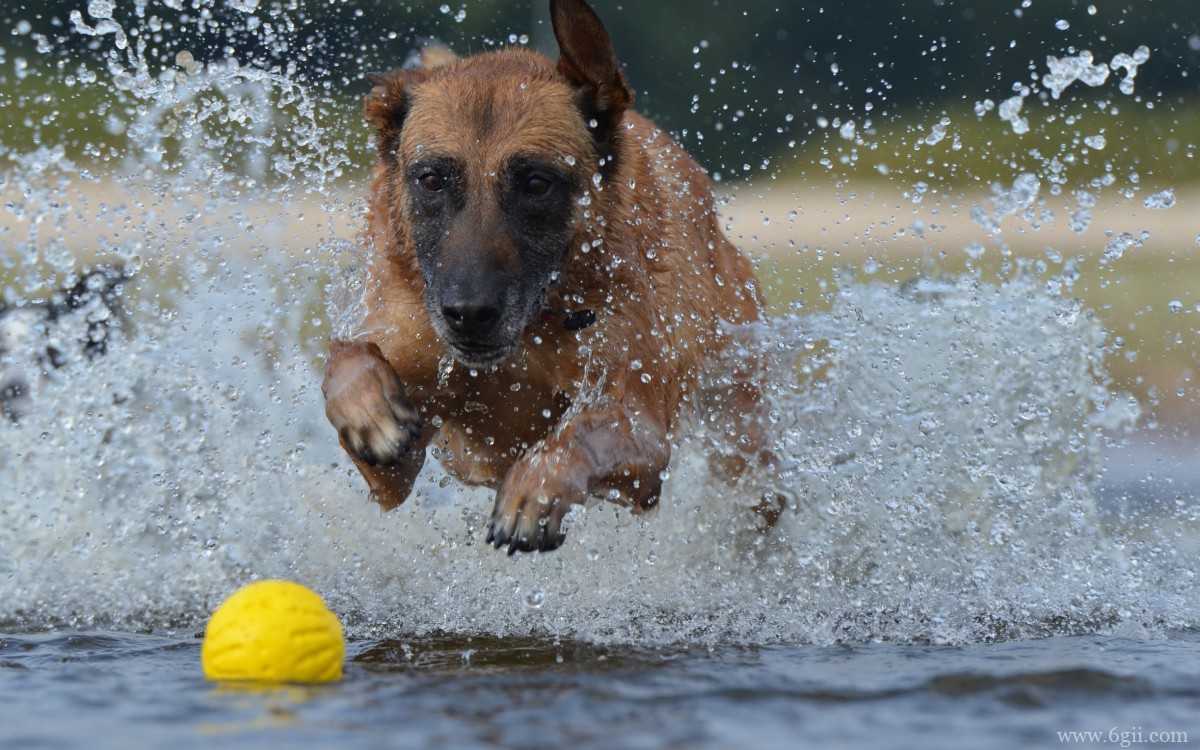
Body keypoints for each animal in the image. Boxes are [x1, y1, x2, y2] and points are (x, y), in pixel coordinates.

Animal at [321, 0, 768, 552]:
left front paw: (534, 490)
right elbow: (347, 357)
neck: (525, 344)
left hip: (742, 432)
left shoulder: (643, 439)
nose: (469, 315)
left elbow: (582, 432)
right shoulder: (395, 469)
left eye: (536, 183)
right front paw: (367, 409)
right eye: (431, 179)